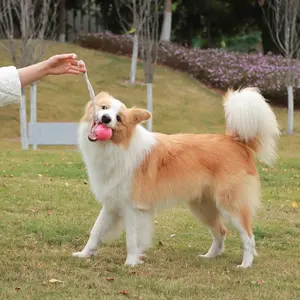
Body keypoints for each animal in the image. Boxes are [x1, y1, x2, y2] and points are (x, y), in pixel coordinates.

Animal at [72, 86, 278, 268]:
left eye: (119, 118)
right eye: (104, 108)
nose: (106, 119)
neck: (118, 145)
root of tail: (237, 142)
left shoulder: (134, 208)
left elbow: (132, 239)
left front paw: (131, 262)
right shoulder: (111, 203)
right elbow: (96, 231)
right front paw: (84, 254)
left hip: (231, 205)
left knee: (248, 237)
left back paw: (245, 265)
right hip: (202, 207)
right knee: (220, 231)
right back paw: (209, 256)